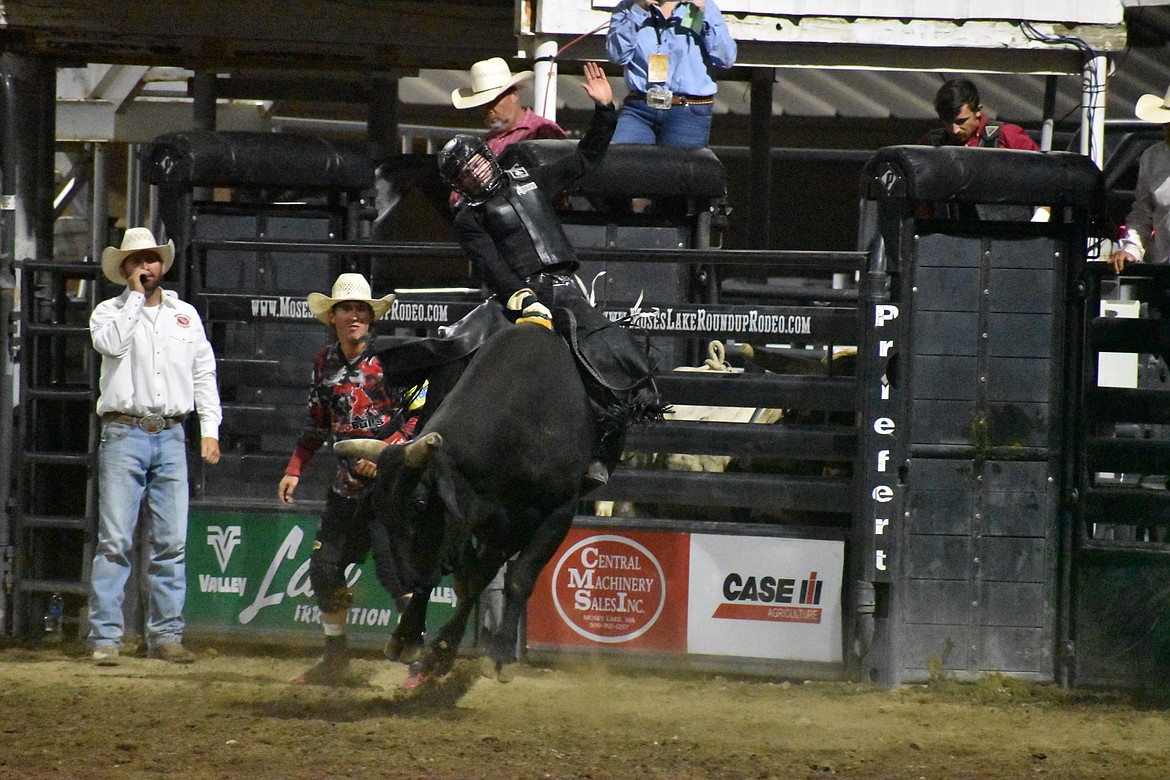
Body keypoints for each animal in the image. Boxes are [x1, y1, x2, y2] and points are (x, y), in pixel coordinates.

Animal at [336, 322, 594, 682]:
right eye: (381, 512)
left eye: (419, 503)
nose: (406, 580)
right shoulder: (474, 521)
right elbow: (461, 578)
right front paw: (411, 638)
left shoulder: (560, 512)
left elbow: (519, 579)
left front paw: (502, 654)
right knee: (475, 578)